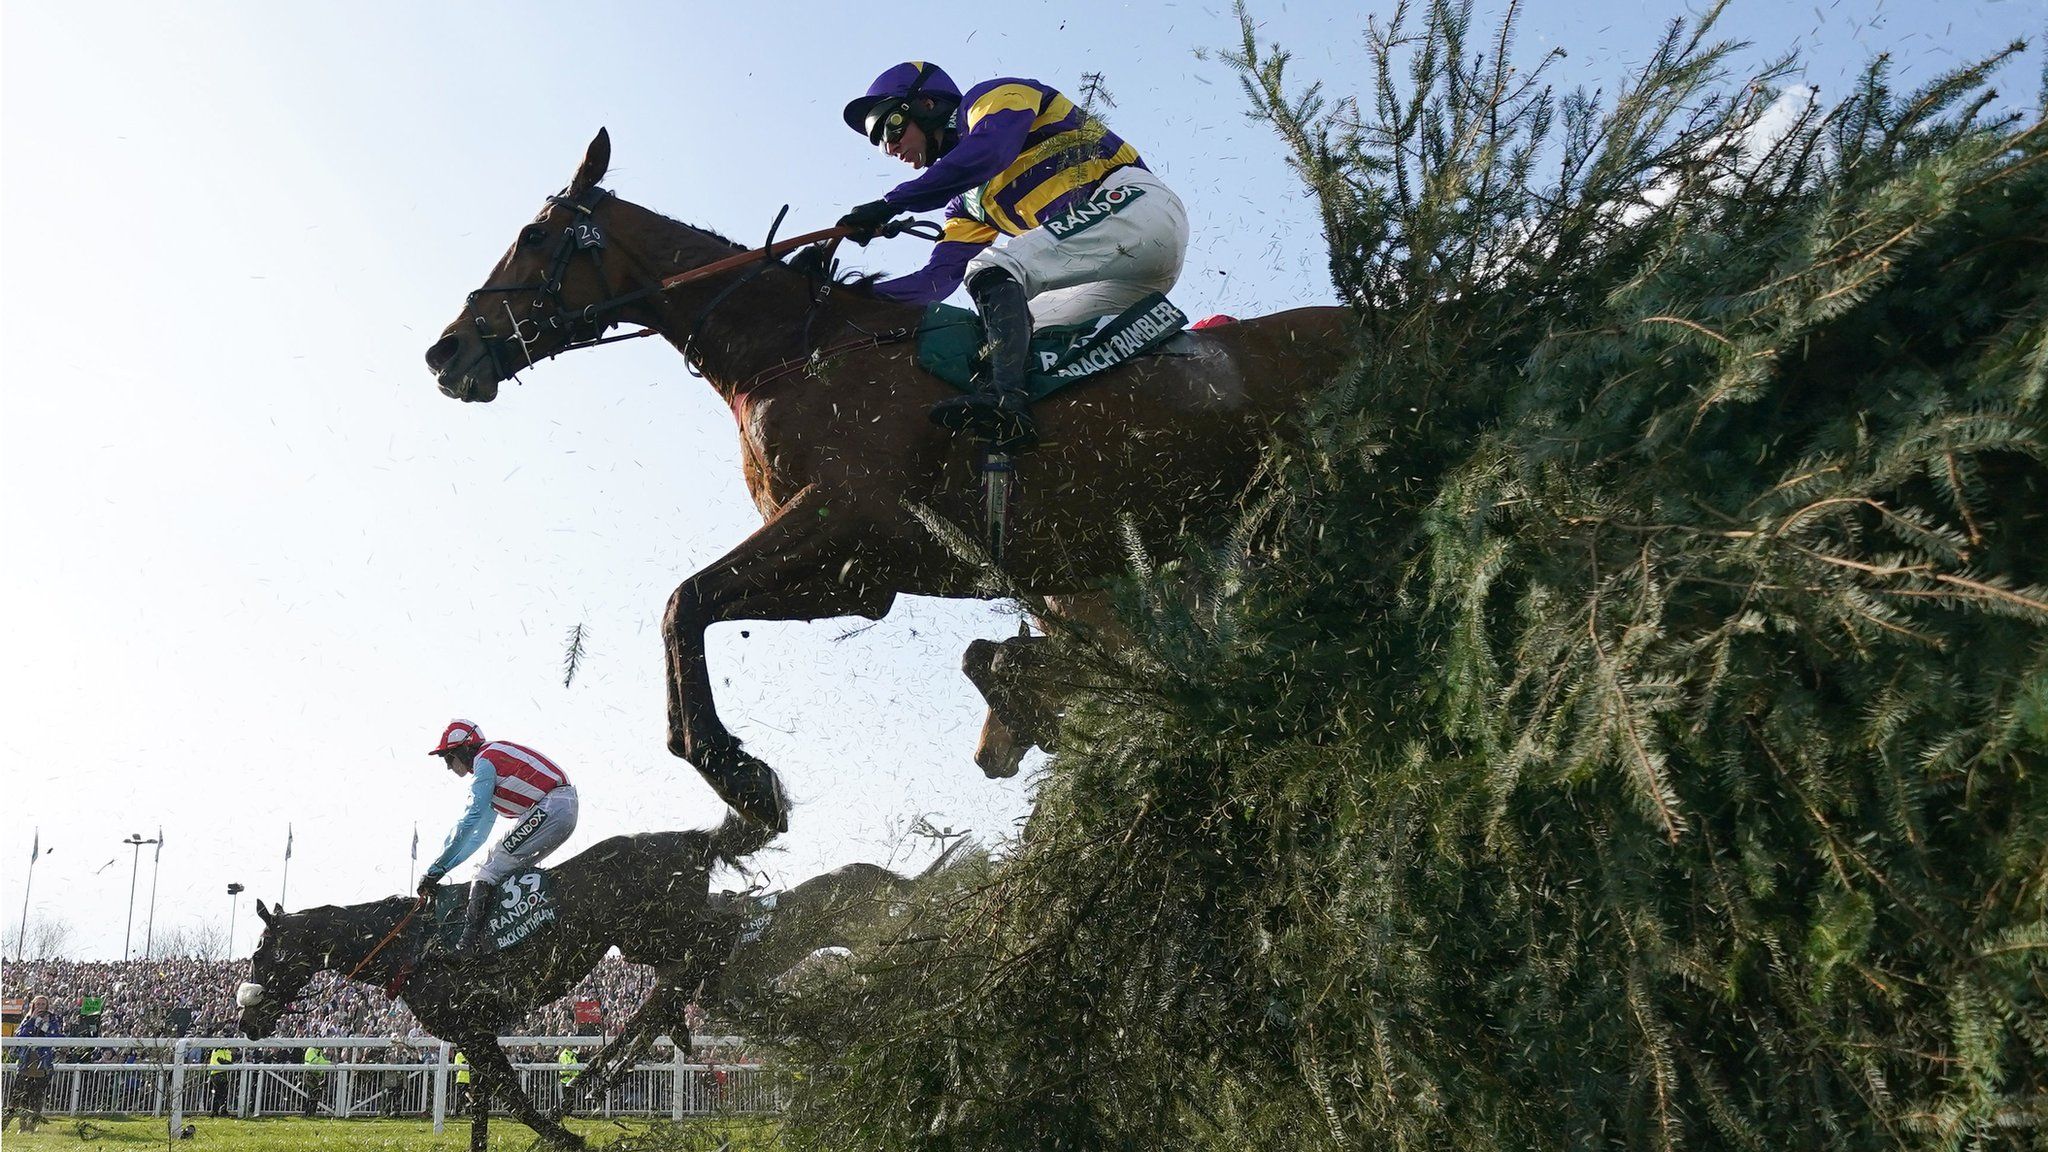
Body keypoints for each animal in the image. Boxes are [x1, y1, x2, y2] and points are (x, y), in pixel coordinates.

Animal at [237, 811, 770, 1139]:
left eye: (260, 953)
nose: (246, 1022)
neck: (410, 945)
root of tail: (691, 839)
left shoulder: (469, 1026)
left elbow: (512, 1097)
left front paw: (567, 1136)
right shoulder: (472, 1031)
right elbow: (484, 1106)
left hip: (653, 929)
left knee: (720, 934)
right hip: (650, 941)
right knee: (693, 965)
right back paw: (673, 1025)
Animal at [423, 127, 1351, 824]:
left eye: (534, 236)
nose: (446, 351)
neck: (793, 351)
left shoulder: (851, 518)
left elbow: (682, 601)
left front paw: (735, 773)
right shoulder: (861, 574)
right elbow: (694, 606)